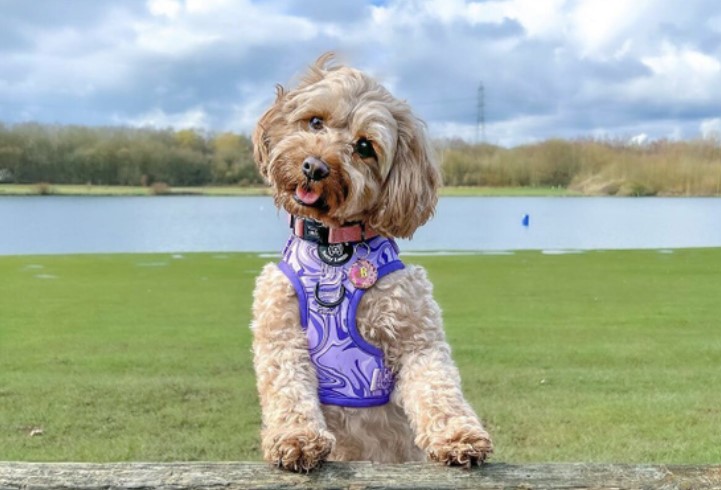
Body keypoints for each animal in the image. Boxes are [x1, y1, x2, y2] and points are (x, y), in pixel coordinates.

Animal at [250, 53, 492, 470]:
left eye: (364, 146)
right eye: (315, 121)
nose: (314, 167)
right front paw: (297, 439)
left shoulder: (415, 334)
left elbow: (437, 386)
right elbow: (289, 389)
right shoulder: (279, 331)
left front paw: (457, 436)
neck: (334, 252)